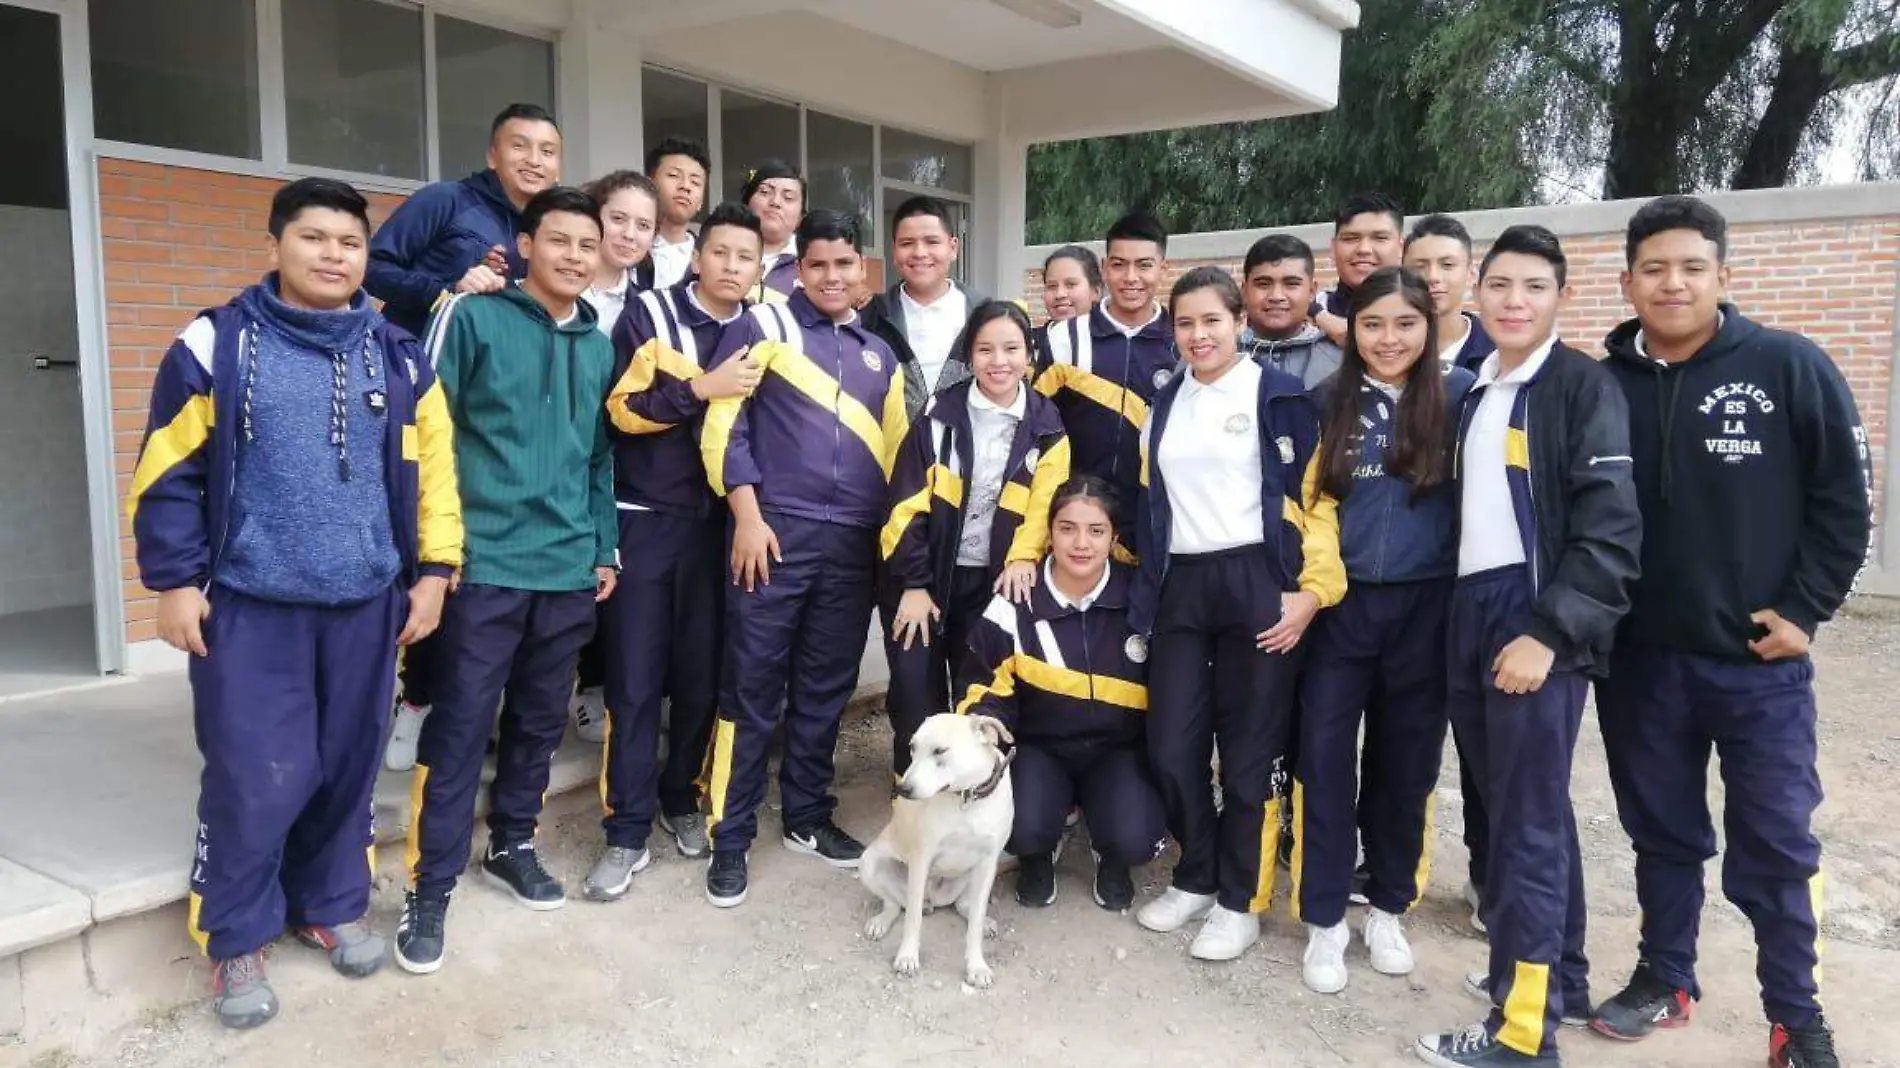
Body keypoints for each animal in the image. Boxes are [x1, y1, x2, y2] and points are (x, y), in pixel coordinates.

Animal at [858, 710, 1010, 988]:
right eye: (912, 748)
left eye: (940, 751)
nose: (903, 789)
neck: (966, 798)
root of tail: (935, 900)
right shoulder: (922, 860)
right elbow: (913, 919)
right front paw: (907, 957)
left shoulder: (988, 863)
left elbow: (973, 927)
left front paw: (976, 966)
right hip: (870, 862)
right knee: (895, 904)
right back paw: (881, 922)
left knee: (964, 906)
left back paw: (983, 922)